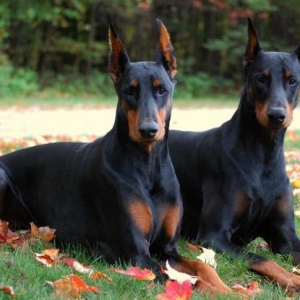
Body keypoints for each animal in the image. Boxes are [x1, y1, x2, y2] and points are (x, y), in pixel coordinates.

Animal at [0, 20, 232, 296]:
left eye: (162, 90)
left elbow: (202, 268)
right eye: (129, 91)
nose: (148, 130)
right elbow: (181, 282)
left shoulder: (167, 248)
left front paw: (228, 289)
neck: (147, 165)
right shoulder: (136, 254)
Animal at [169, 17, 300, 294]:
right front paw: (293, 279)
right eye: (261, 78)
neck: (264, 153)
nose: (276, 115)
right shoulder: (214, 235)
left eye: (292, 80)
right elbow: (261, 258)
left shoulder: (284, 234)